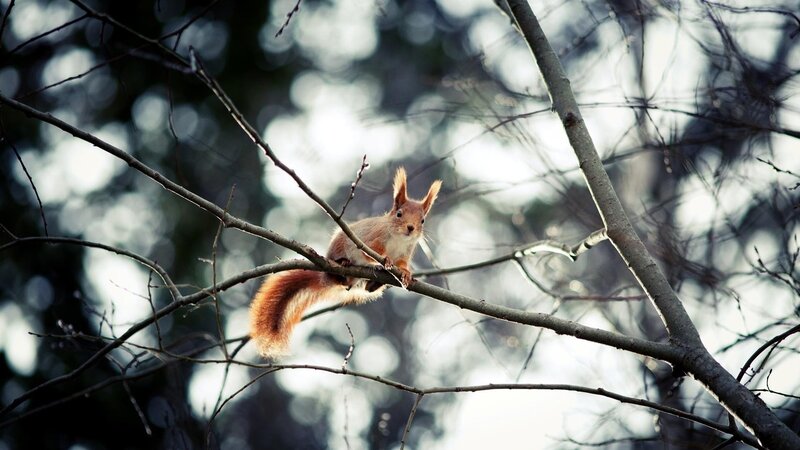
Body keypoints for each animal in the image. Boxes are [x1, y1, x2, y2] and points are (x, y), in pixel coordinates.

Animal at [249, 167, 442, 358]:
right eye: (399, 214)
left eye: (422, 220)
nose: (411, 228)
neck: (399, 238)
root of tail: (327, 277)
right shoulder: (371, 240)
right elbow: (372, 253)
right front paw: (385, 260)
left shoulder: (405, 254)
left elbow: (402, 264)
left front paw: (406, 274)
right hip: (338, 247)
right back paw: (344, 262)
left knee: (364, 288)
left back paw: (373, 283)